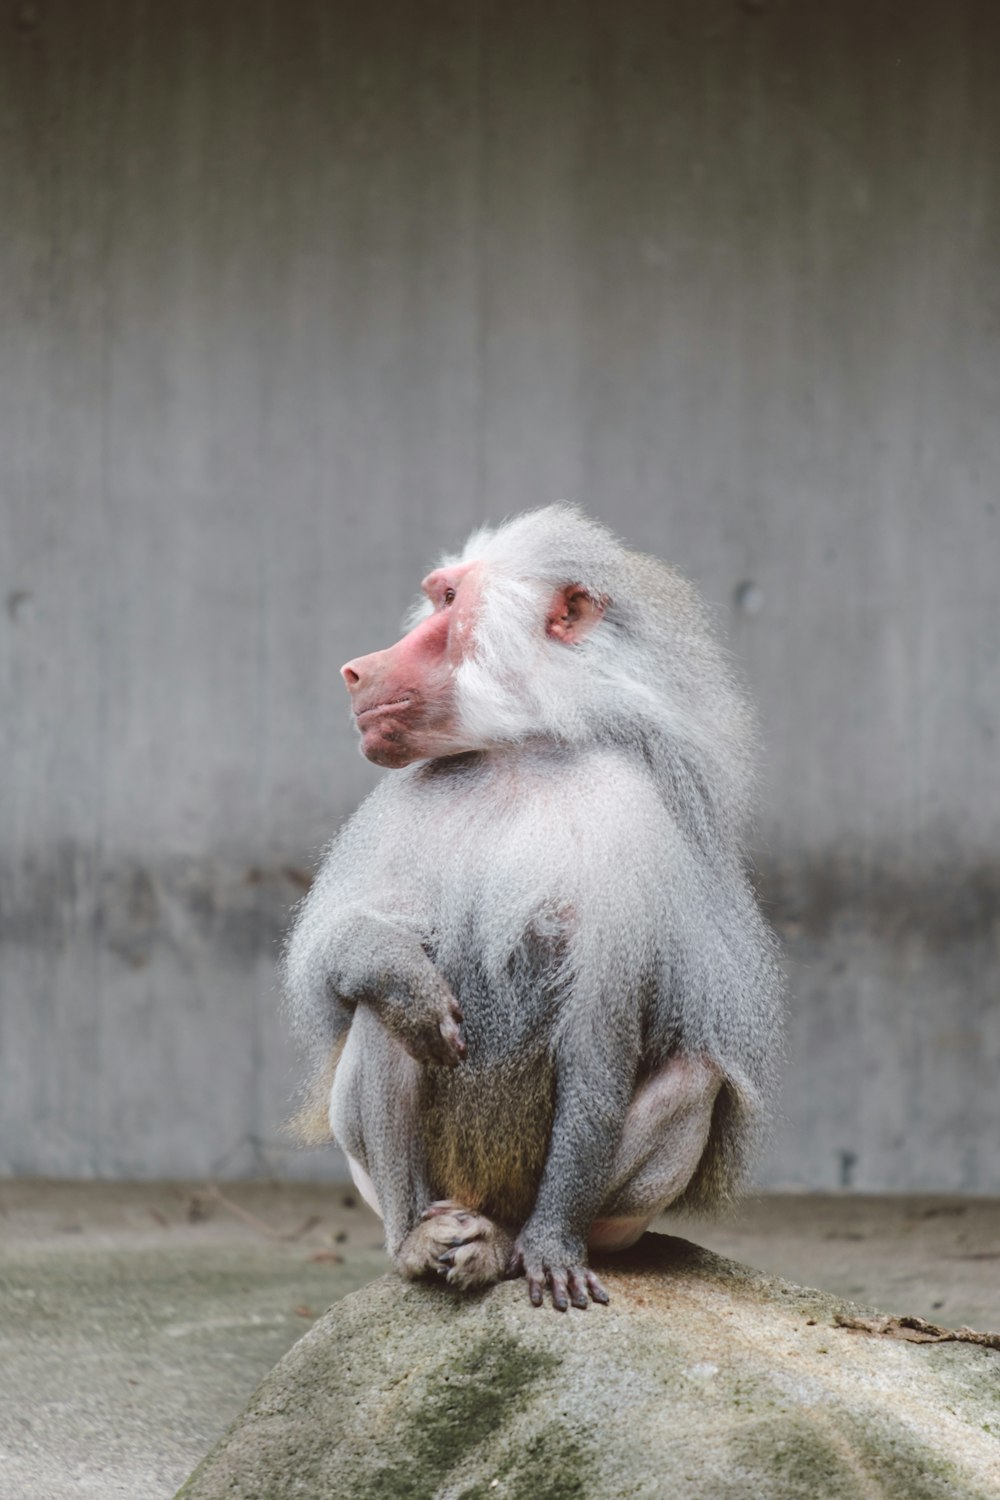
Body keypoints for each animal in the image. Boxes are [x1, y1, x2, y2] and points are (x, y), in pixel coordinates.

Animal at [281, 507, 779, 1314]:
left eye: (451, 601)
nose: (355, 669)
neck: (519, 751)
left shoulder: (626, 815)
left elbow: (601, 1033)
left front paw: (551, 1248)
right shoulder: (400, 802)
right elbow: (330, 955)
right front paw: (402, 976)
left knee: (695, 1075)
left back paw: (509, 1243)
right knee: (384, 1014)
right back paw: (417, 1239)